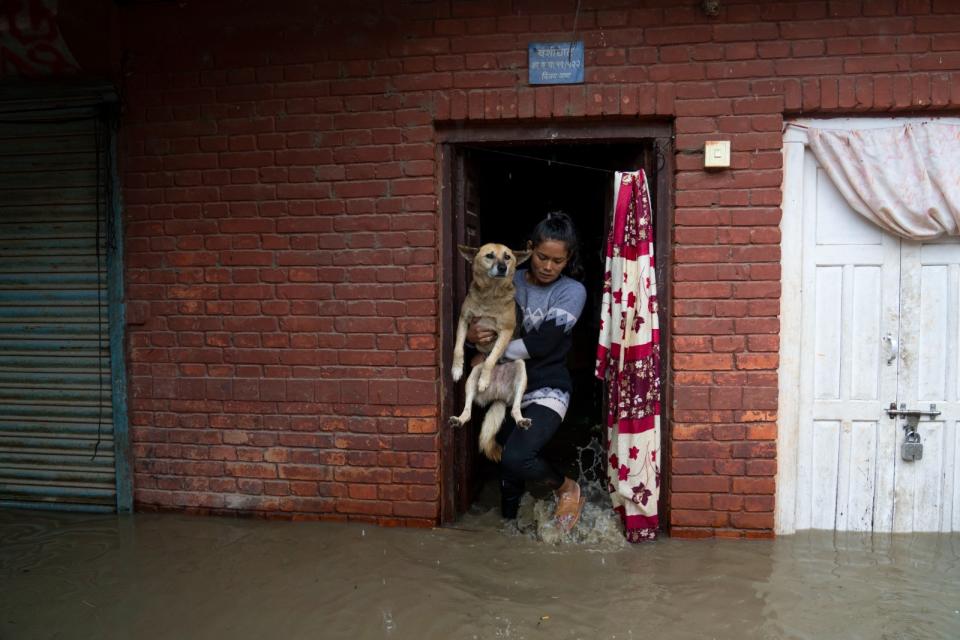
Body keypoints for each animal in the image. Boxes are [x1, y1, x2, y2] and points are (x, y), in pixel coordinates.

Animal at [450, 244, 532, 460]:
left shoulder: (505, 332)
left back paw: (521, 419)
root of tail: (498, 396)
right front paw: (456, 369)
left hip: (521, 371)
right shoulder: (464, 321)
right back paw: (458, 419)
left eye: (508, 257)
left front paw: (485, 380)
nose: (503, 268)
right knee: (468, 410)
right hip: (472, 377)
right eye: (489, 256)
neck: (490, 295)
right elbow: (458, 347)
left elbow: (491, 358)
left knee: (515, 410)